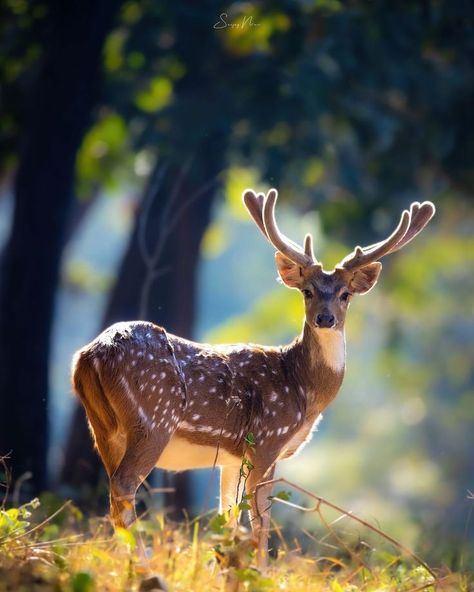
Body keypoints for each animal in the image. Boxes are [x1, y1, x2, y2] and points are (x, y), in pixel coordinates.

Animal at [71, 188, 434, 564]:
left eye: (345, 294)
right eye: (307, 291)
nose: (325, 318)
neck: (304, 391)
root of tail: (91, 355)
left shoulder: (232, 458)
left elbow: (227, 517)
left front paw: (223, 565)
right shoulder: (267, 440)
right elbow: (260, 521)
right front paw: (261, 570)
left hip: (102, 427)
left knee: (112, 491)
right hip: (153, 420)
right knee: (125, 485)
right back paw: (141, 561)